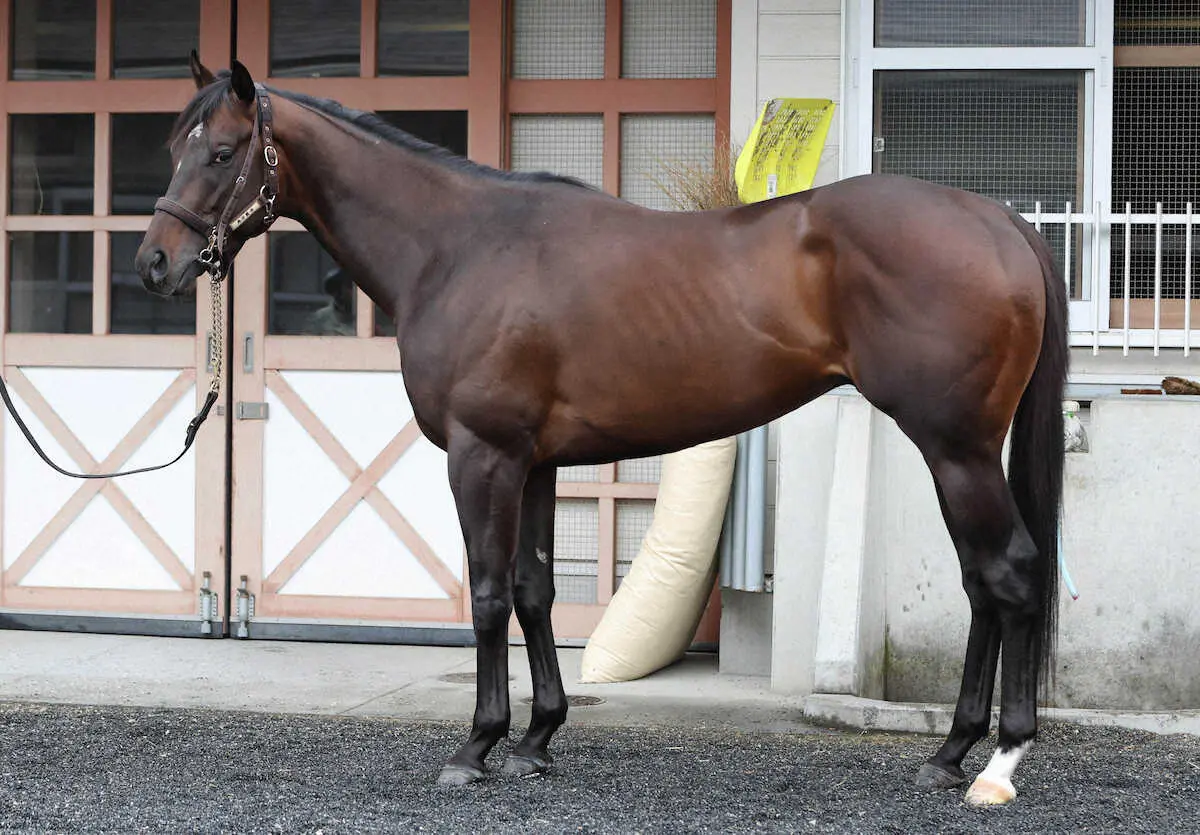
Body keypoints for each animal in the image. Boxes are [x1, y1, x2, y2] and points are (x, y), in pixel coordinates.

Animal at [136, 53, 1065, 811]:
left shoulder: (483, 456)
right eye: (174, 144)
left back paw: (998, 764)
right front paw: (537, 739)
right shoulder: (536, 463)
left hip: (956, 449)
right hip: (957, 452)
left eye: (223, 152)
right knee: (982, 583)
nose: (155, 264)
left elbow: (486, 593)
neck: (457, 247)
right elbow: (536, 590)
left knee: (1011, 573)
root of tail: (1002, 221)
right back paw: (948, 752)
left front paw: (476, 746)